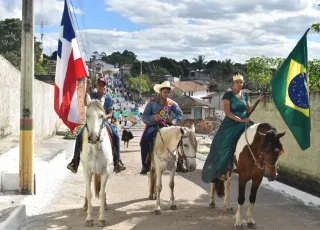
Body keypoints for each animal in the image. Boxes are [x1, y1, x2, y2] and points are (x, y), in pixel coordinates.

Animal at [80, 99, 113, 227]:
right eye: (87, 115)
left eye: (102, 116)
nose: (94, 137)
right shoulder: (86, 171)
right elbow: (89, 193)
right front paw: (89, 218)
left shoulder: (105, 172)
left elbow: (102, 193)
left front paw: (101, 218)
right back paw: (85, 205)